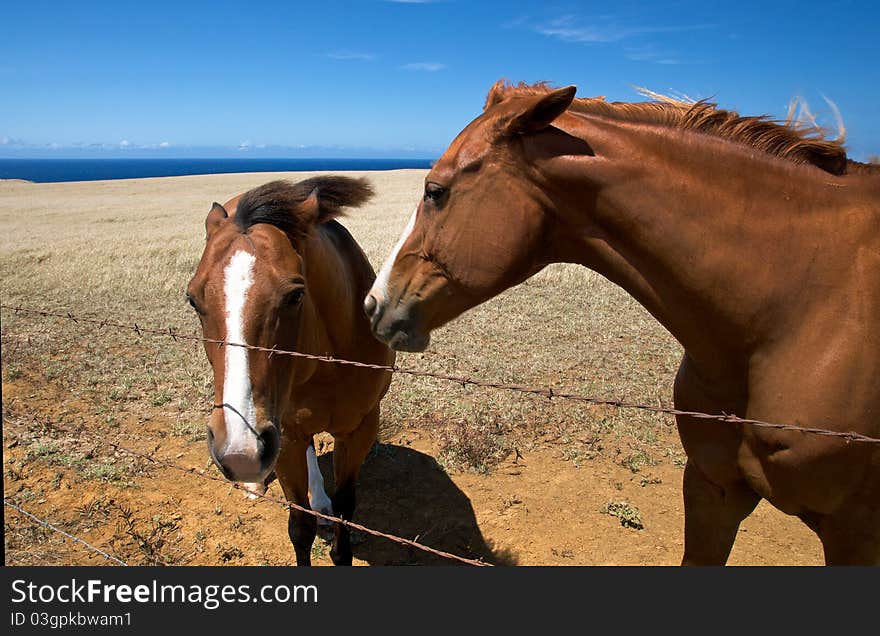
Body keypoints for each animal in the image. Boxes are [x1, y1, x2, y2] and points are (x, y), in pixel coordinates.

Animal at [190, 175, 396, 568]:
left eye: (295, 296)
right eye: (193, 300)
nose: (239, 450)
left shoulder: (360, 428)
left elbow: (346, 512)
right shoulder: (284, 435)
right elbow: (300, 527)